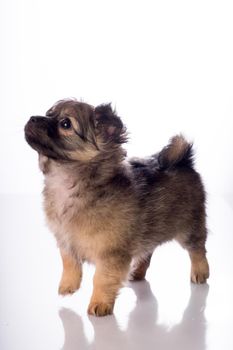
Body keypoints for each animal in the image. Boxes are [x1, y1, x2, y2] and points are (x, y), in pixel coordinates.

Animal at [25, 99, 209, 318]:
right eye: (48, 113)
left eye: (65, 124)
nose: (32, 118)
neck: (69, 183)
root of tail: (184, 160)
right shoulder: (65, 241)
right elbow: (69, 263)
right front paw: (68, 285)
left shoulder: (110, 253)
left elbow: (101, 278)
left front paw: (100, 303)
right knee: (147, 252)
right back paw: (136, 272)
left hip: (190, 227)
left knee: (197, 249)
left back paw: (200, 272)